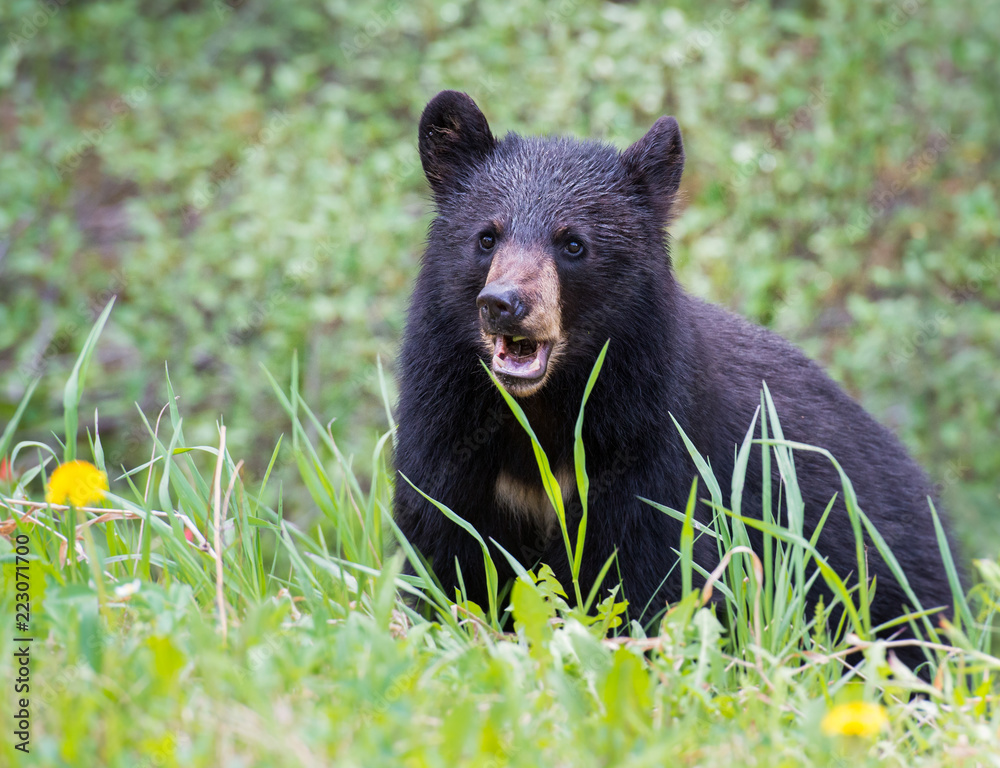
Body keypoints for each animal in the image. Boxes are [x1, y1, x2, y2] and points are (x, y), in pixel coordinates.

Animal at [393, 90, 958, 673]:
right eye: (486, 237)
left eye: (572, 245)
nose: (504, 303)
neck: (542, 407)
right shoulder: (448, 425)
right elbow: (447, 549)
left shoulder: (653, 441)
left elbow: (653, 571)